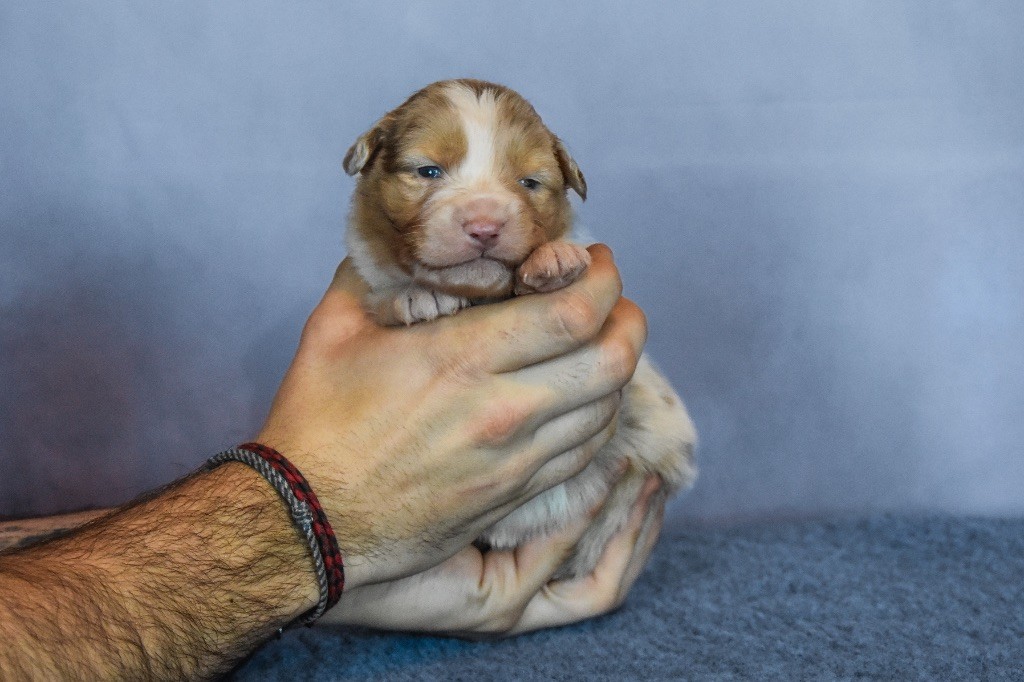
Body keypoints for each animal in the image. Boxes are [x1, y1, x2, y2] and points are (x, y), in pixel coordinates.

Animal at [344, 79, 696, 577]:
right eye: (428, 171)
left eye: (530, 182)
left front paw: (555, 259)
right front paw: (414, 295)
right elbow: (388, 291)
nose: (484, 226)